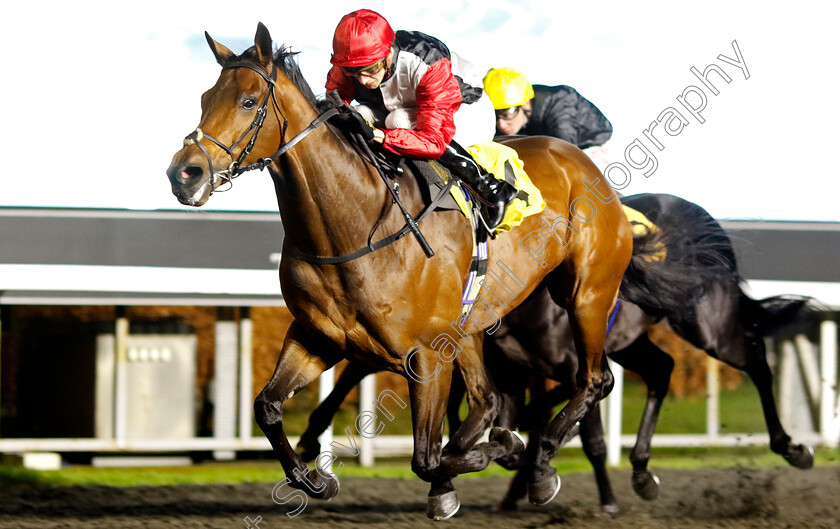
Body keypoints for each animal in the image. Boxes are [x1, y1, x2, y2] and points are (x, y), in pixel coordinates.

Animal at [166, 23, 720, 516]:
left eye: (249, 102)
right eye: (204, 98)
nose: (183, 174)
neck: (352, 226)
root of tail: (582, 162)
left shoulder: (428, 355)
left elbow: (427, 458)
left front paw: (499, 454)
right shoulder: (318, 337)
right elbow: (267, 406)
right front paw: (315, 479)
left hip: (586, 295)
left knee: (593, 380)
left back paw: (543, 467)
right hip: (473, 326)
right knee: (490, 398)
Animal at [296, 192, 812, 512]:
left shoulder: (559, 362)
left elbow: (578, 423)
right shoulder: (491, 356)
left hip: (706, 321)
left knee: (755, 359)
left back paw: (791, 447)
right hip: (634, 341)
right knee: (662, 368)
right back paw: (641, 470)